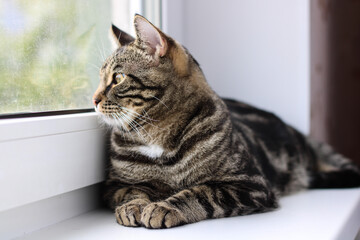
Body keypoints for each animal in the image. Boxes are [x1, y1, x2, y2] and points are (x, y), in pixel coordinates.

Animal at [93, 14, 360, 228]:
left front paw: (165, 206)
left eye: (118, 78)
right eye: (100, 78)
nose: (94, 99)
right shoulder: (114, 185)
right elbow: (132, 190)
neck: (157, 135)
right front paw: (134, 206)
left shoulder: (249, 184)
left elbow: (200, 193)